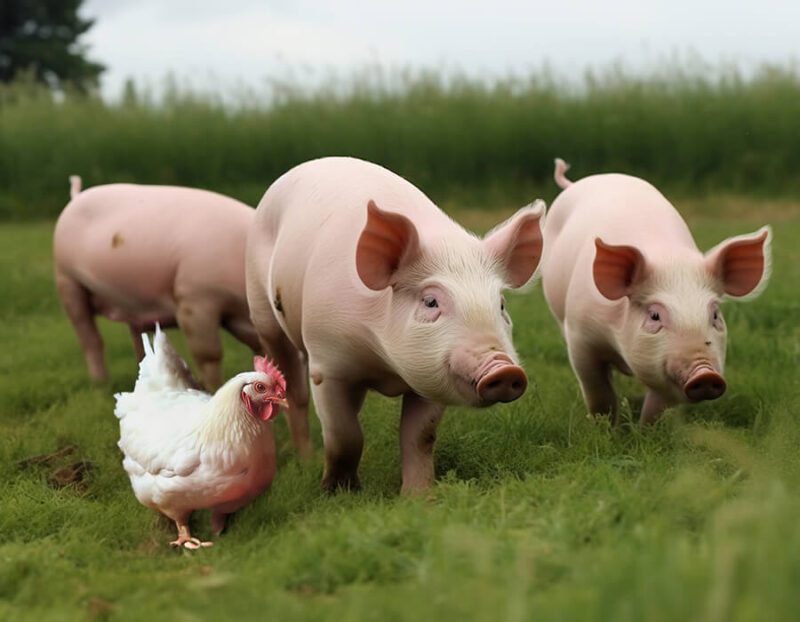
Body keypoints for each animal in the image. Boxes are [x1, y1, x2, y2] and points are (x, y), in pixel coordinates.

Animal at [53, 177, 262, 390]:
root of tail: (77, 197)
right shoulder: (194, 298)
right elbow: (209, 354)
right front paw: (213, 390)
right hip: (66, 279)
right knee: (90, 339)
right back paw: (101, 384)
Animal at [245, 157, 544, 491]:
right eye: (431, 302)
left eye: (501, 304)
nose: (504, 369)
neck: (384, 363)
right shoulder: (327, 364)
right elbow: (345, 436)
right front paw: (339, 492)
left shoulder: (429, 377)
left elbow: (419, 437)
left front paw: (419, 495)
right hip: (264, 313)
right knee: (293, 391)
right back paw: (305, 460)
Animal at [542, 158, 771, 423]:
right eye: (654, 316)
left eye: (715, 315)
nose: (705, 374)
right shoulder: (581, 337)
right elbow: (600, 396)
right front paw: (604, 428)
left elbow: (656, 409)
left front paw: (646, 431)